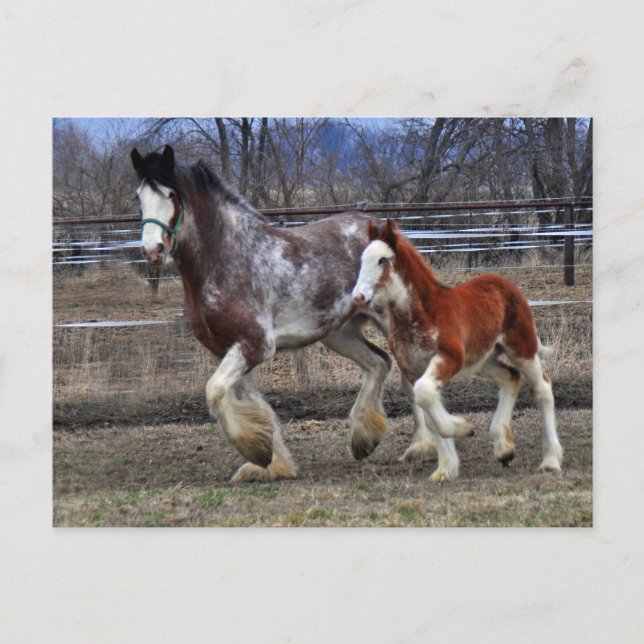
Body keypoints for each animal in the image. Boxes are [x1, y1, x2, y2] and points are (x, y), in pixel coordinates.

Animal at [130, 145, 433, 483]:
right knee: (379, 363)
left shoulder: (255, 345)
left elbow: (215, 390)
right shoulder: (228, 349)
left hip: (392, 323)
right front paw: (274, 463)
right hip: (338, 333)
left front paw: (255, 451)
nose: (153, 250)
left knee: (412, 377)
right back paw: (363, 439)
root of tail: (384, 231)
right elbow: (255, 404)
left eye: (171, 194)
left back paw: (422, 447)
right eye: (139, 196)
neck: (229, 260)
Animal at [351, 219, 563, 481]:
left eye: (382, 260)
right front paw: (446, 469)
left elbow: (425, 394)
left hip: (522, 348)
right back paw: (504, 448)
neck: (423, 315)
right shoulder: (413, 369)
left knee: (542, 389)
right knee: (510, 377)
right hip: (482, 361)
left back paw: (551, 461)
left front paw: (464, 428)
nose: (358, 297)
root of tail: (505, 284)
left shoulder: (450, 357)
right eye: (362, 259)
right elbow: (427, 408)